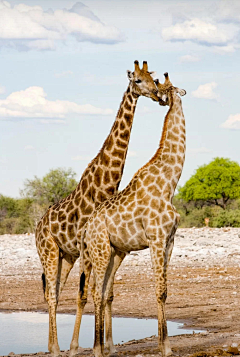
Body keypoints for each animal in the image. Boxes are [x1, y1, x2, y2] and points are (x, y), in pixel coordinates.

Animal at [35, 59, 159, 354]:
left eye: (154, 78)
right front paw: (76, 347)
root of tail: (37, 226)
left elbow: (106, 292)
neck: (105, 185)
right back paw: (56, 349)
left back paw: (52, 345)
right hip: (49, 252)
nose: (157, 94)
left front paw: (108, 346)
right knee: (52, 294)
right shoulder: (88, 248)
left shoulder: (111, 249)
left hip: (65, 256)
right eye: (137, 80)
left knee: (54, 291)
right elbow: (85, 294)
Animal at [79, 72, 187, 356]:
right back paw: (97, 349)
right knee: (96, 292)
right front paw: (165, 347)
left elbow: (164, 291)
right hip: (100, 251)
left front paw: (167, 344)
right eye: (168, 88)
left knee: (104, 292)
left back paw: (104, 347)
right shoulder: (156, 239)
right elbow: (159, 290)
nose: (161, 97)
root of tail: (87, 227)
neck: (170, 182)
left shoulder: (169, 241)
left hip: (114, 251)